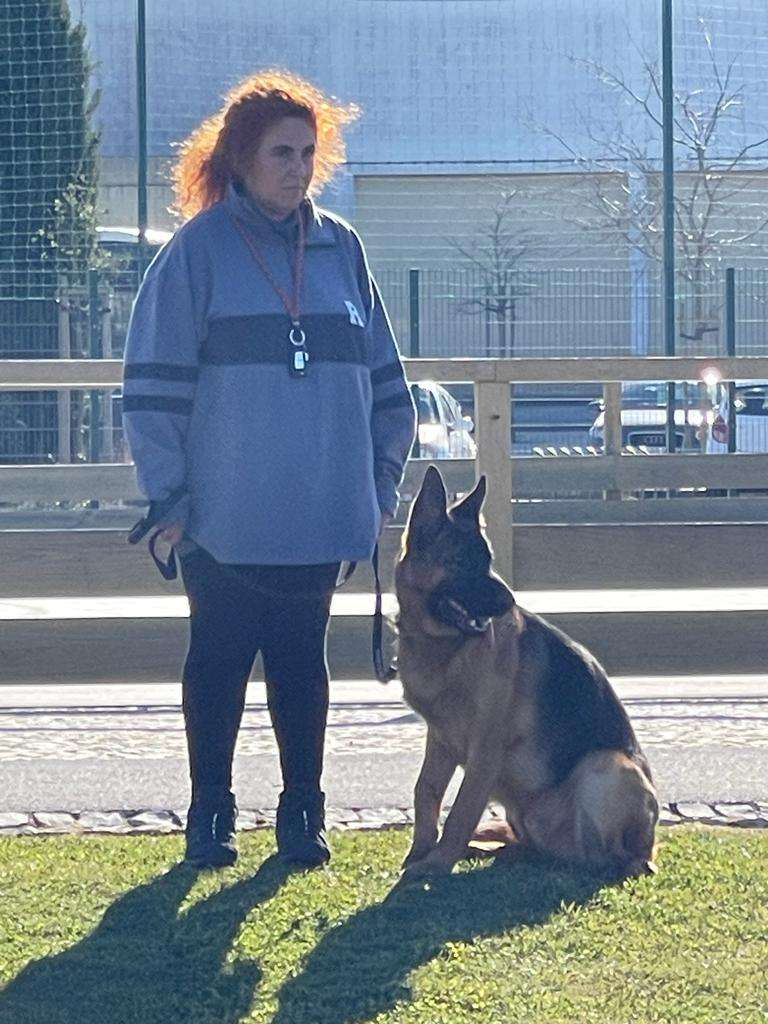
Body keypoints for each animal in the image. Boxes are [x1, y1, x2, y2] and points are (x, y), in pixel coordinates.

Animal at [397, 466, 663, 880]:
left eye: (487, 560)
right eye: (462, 562)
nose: (510, 601)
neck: (446, 650)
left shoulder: (484, 751)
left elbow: (461, 810)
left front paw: (436, 864)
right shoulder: (440, 740)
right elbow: (426, 792)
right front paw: (420, 853)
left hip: (606, 766)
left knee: (618, 860)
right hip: (524, 814)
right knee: (532, 846)